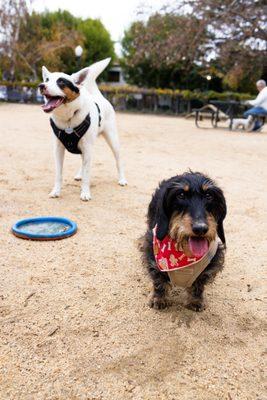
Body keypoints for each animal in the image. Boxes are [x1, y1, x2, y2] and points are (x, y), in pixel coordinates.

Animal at [38, 57, 127, 202]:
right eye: (47, 80)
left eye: (61, 82)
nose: (41, 86)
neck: (68, 119)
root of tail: (99, 96)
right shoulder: (58, 149)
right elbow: (59, 174)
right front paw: (56, 191)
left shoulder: (87, 148)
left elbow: (87, 174)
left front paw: (85, 193)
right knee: (83, 162)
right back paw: (79, 174)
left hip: (112, 140)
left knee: (118, 160)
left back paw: (122, 179)